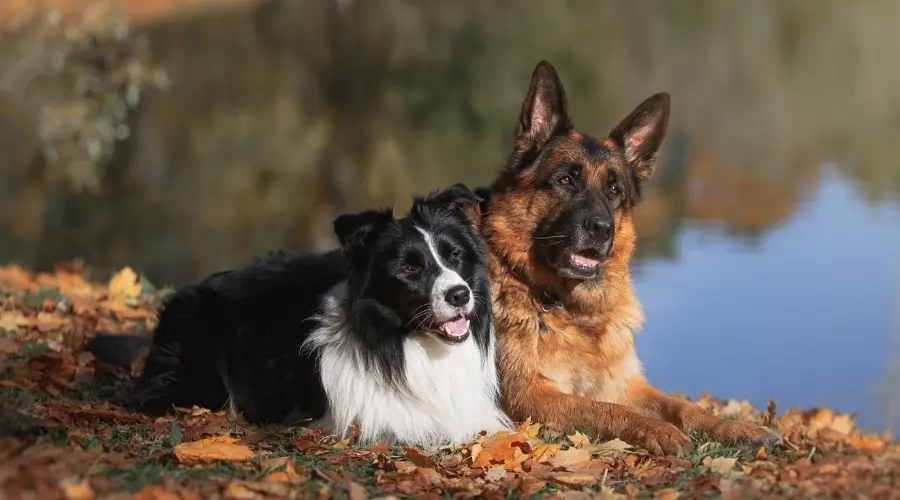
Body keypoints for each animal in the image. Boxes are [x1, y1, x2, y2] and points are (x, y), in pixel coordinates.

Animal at [478, 60, 780, 456]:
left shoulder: (625, 383)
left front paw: (737, 428)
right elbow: (604, 410)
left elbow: (683, 406)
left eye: (615, 190)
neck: (571, 310)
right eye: (565, 181)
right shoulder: (530, 395)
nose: (602, 228)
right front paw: (658, 430)